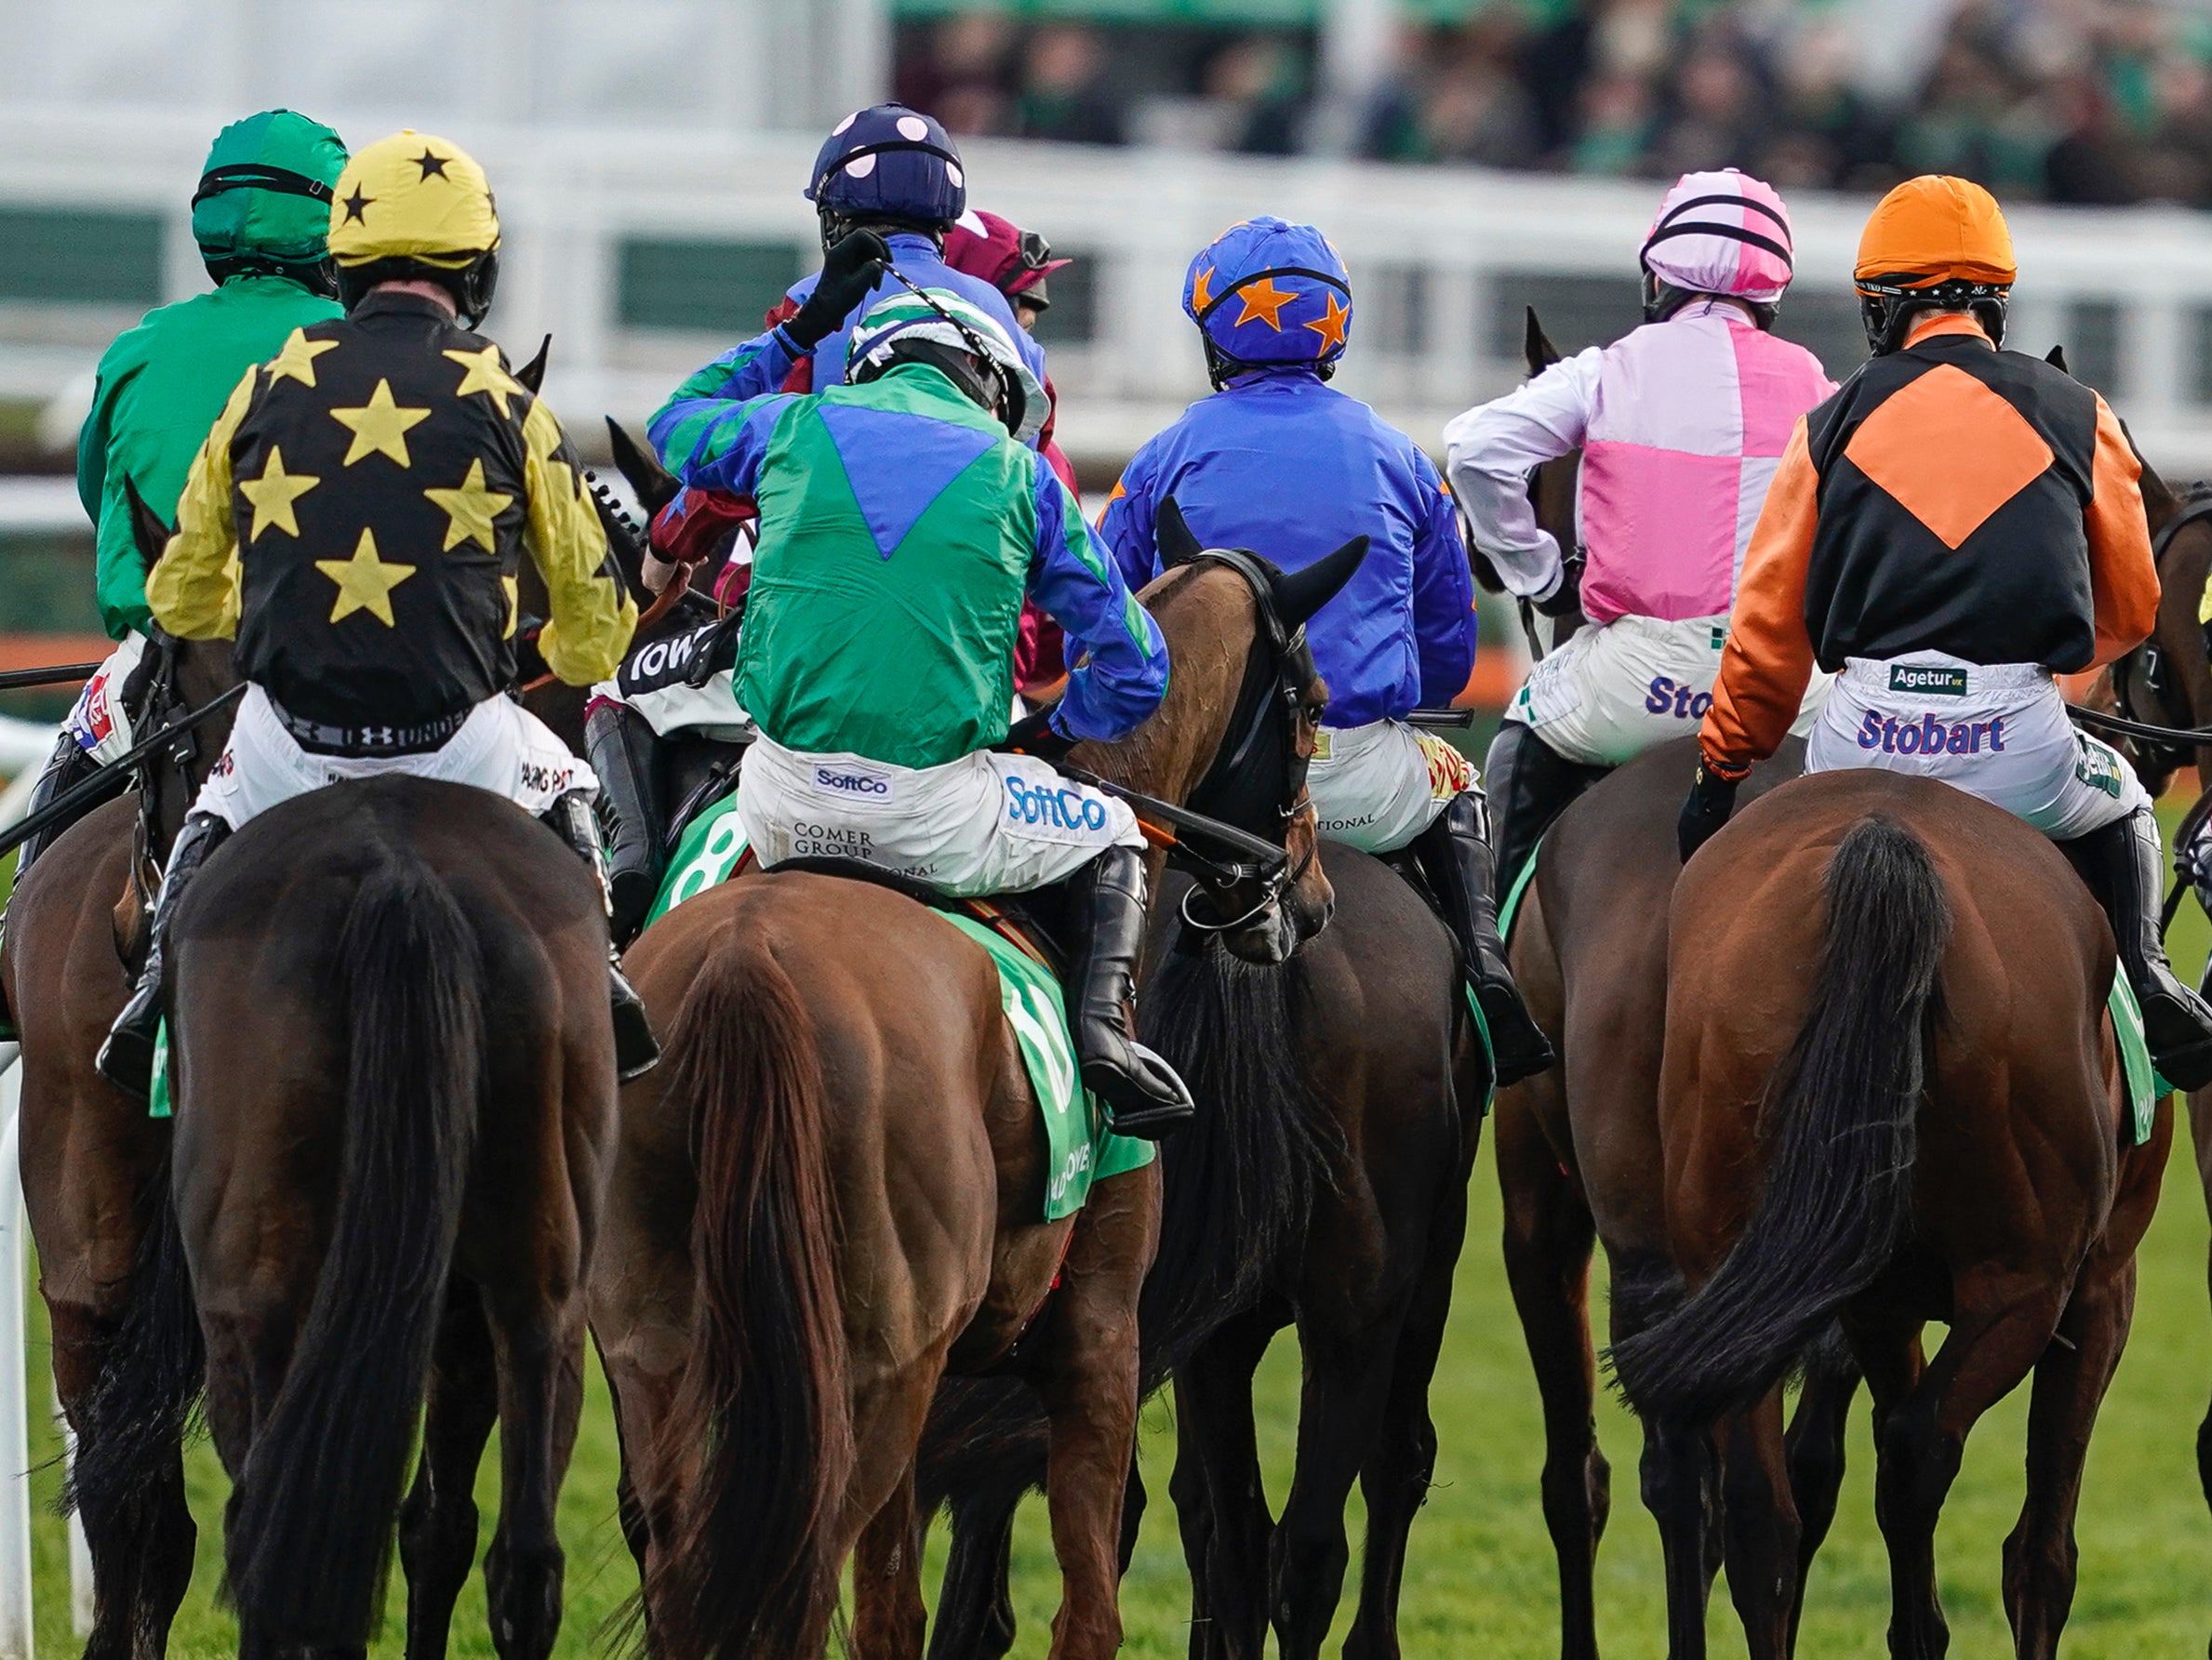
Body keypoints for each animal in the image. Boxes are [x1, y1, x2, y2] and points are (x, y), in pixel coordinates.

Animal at [588, 512, 1362, 1653]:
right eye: (1310, 707)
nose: (1308, 896)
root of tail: (749, 965)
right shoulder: (1098, 1337)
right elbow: (1086, 1612)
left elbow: (892, 1609)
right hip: (865, 1374)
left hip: (662, 1347)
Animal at [1619, 777, 2167, 1660]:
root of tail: (1883, 840)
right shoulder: (2103, 1290)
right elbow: (2043, 1550)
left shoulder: (1881, 1304)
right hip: (2021, 1287)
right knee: (1921, 1454)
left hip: (1729, 1268)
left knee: (1761, 1513)